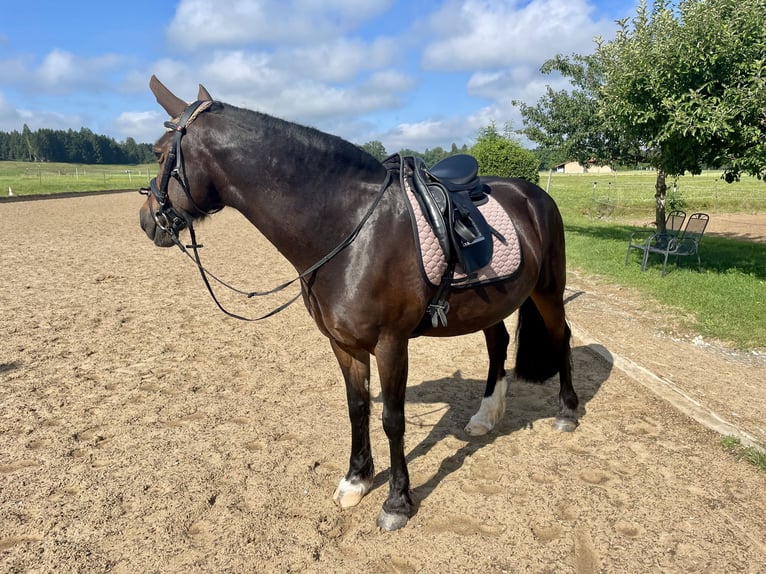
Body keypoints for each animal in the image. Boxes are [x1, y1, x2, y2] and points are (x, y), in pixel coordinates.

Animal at [138, 76, 578, 531]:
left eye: (159, 153)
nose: (148, 220)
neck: (350, 229)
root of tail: (533, 194)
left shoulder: (390, 344)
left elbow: (392, 420)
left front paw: (397, 502)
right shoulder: (344, 344)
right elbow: (358, 408)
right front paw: (356, 480)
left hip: (548, 291)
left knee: (561, 336)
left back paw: (566, 412)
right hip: (491, 304)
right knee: (498, 345)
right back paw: (485, 416)